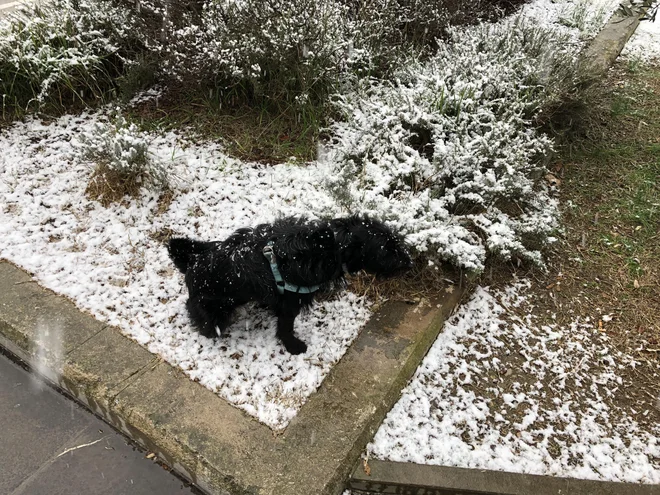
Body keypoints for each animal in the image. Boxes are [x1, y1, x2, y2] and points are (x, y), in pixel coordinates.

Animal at [168, 215, 410, 354]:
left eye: (394, 240)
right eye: (385, 249)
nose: (409, 262)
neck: (327, 247)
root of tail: (192, 263)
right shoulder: (291, 302)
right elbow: (285, 328)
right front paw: (294, 347)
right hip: (214, 308)